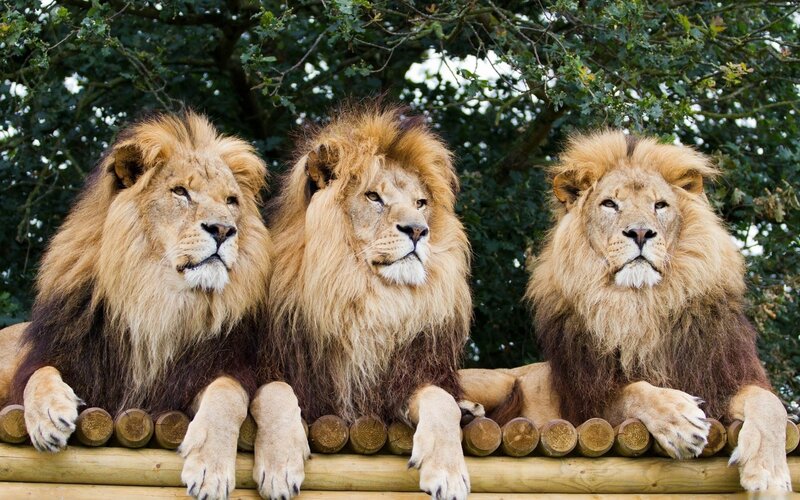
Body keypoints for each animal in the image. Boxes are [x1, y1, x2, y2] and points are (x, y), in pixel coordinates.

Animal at [4, 112, 273, 500]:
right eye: (180, 191)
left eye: (231, 201)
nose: (223, 230)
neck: (156, 298)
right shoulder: (61, 353)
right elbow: (38, 375)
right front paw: (50, 415)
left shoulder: (210, 370)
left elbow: (226, 395)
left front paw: (210, 467)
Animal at [249, 105, 473, 499]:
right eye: (374, 197)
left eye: (421, 203)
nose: (419, 230)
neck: (369, 297)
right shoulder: (275, 364)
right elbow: (277, 392)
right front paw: (279, 468)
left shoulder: (411, 376)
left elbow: (442, 400)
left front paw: (447, 473)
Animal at [460, 130, 791, 492]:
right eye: (610, 204)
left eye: (660, 205)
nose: (641, 232)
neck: (640, 304)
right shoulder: (589, 400)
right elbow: (635, 391)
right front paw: (679, 418)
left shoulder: (723, 378)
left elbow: (769, 403)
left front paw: (769, 474)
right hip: (497, 380)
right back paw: (467, 411)